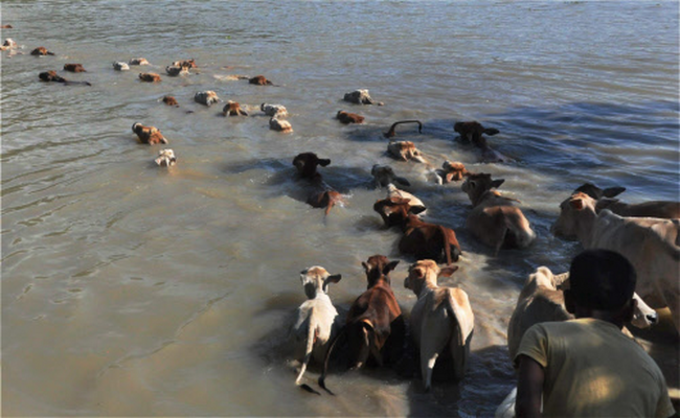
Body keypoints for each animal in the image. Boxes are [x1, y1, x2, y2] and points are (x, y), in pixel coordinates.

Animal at [404, 260, 472, 390]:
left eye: (409, 271)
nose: (405, 280)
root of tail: (448, 298)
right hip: (463, 348)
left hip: (429, 344)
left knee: (427, 379)